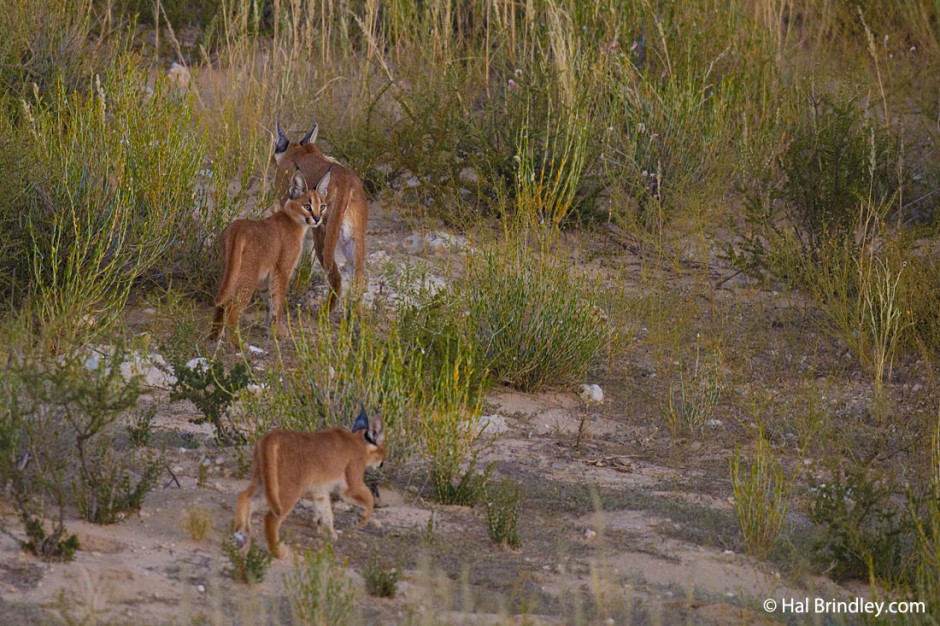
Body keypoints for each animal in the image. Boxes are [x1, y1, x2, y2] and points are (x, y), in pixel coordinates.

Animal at [211, 166, 332, 346]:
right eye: (307, 206)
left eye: (322, 206)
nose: (317, 218)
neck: (294, 220)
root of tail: (237, 228)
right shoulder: (282, 269)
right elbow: (279, 299)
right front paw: (279, 330)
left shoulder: (265, 276)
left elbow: (269, 299)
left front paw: (271, 329)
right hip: (248, 276)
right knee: (232, 307)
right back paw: (238, 344)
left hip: (228, 270)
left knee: (222, 300)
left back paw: (214, 336)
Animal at [272, 120, 368, 310]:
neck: (298, 151)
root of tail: (346, 178)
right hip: (353, 236)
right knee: (358, 277)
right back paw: (355, 315)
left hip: (324, 232)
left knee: (336, 276)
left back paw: (325, 311)